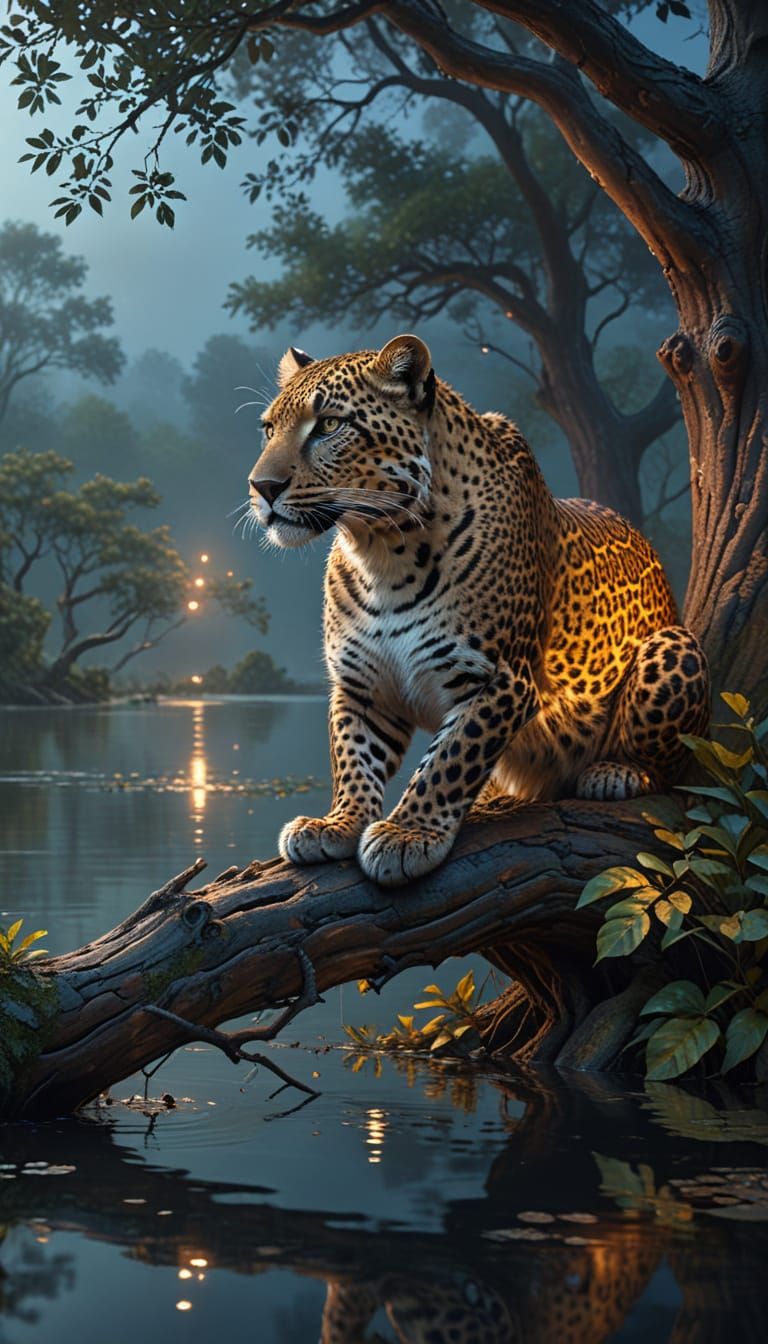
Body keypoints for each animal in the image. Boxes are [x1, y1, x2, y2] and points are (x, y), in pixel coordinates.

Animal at [247, 334, 709, 888]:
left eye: (330, 425)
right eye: (269, 429)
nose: (260, 488)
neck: (380, 552)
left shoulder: (498, 679)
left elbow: (449, 759)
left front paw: (409, 833)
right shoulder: (361, 685)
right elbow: (353, 755)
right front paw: (338, 821)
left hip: (674, 647)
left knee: (668, 766)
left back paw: (615, 771)